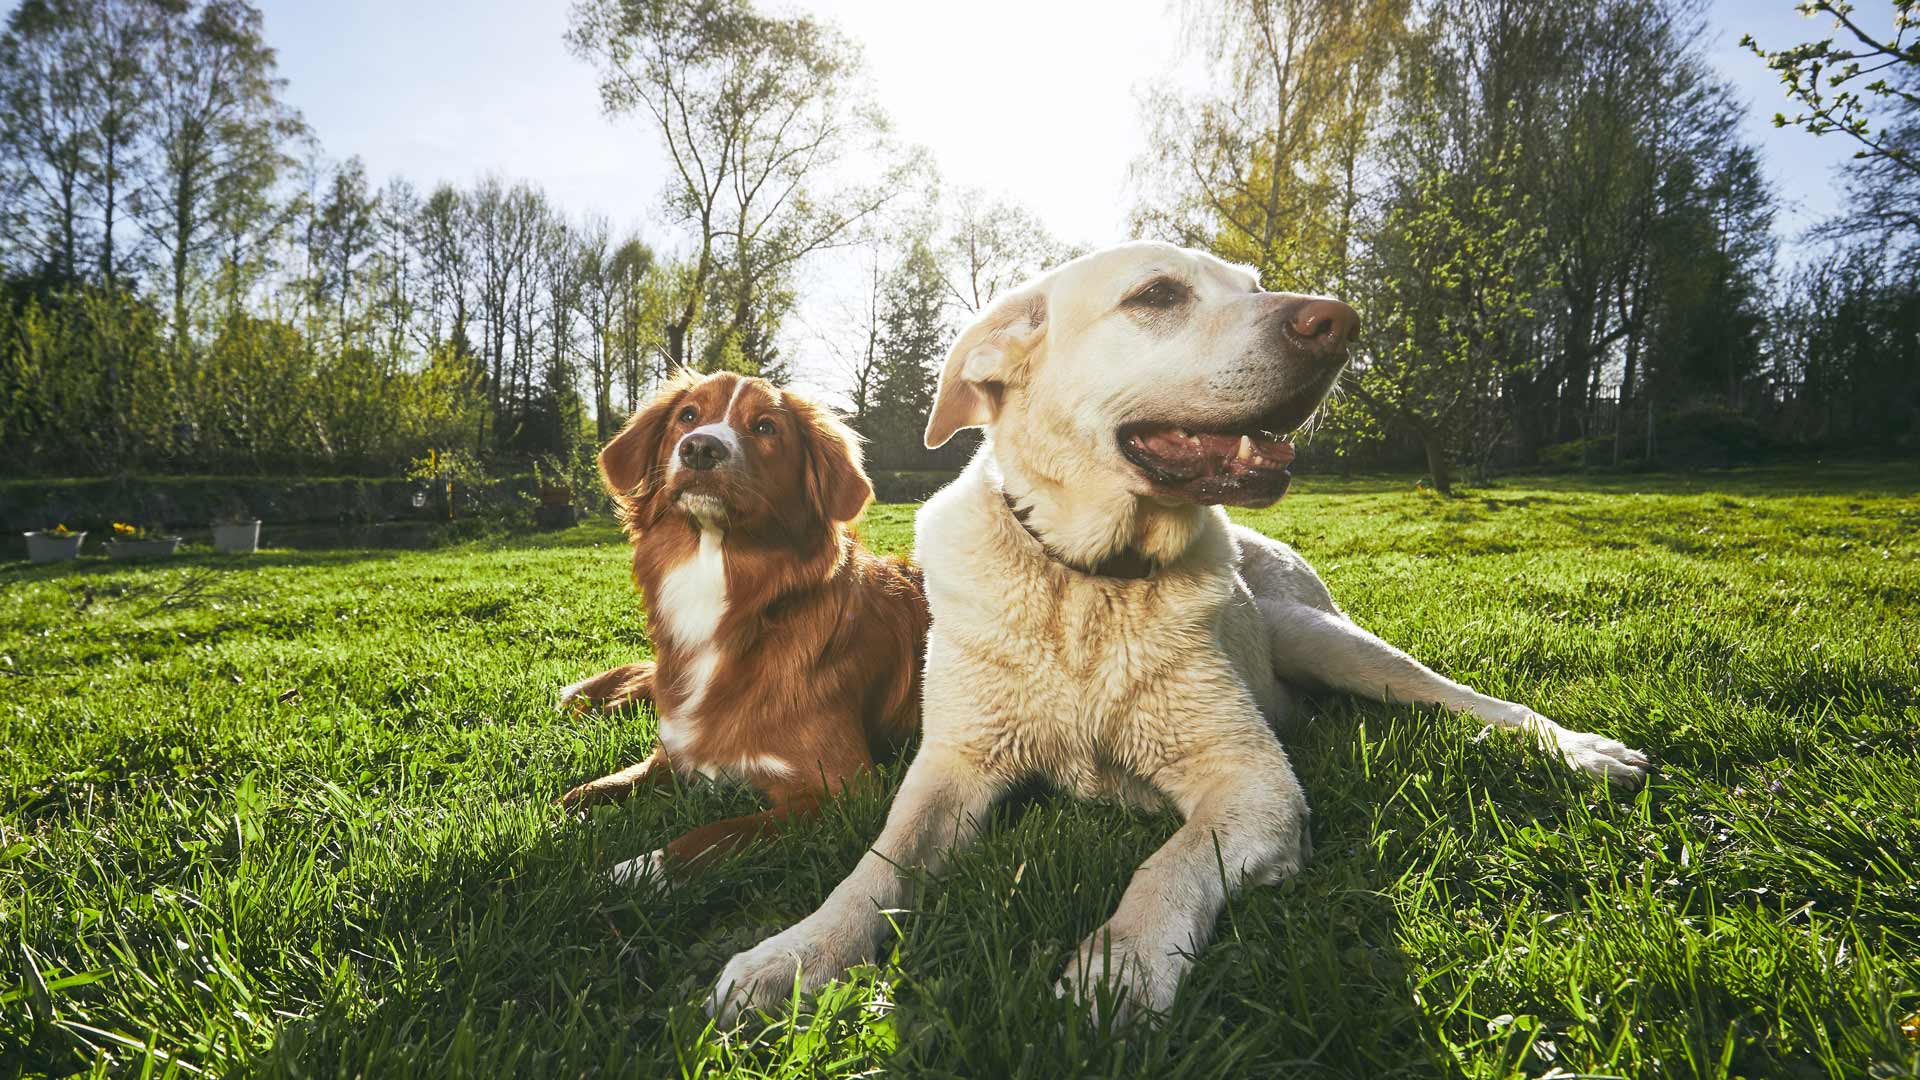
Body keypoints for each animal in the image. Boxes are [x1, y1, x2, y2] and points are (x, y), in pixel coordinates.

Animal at [560, 365, 925, 880]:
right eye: (688, 416)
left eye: (766, 427)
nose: (698, 447)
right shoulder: (674, 751)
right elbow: (593, 789)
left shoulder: (845, 792)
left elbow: (715, 836)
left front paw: (631, 871)